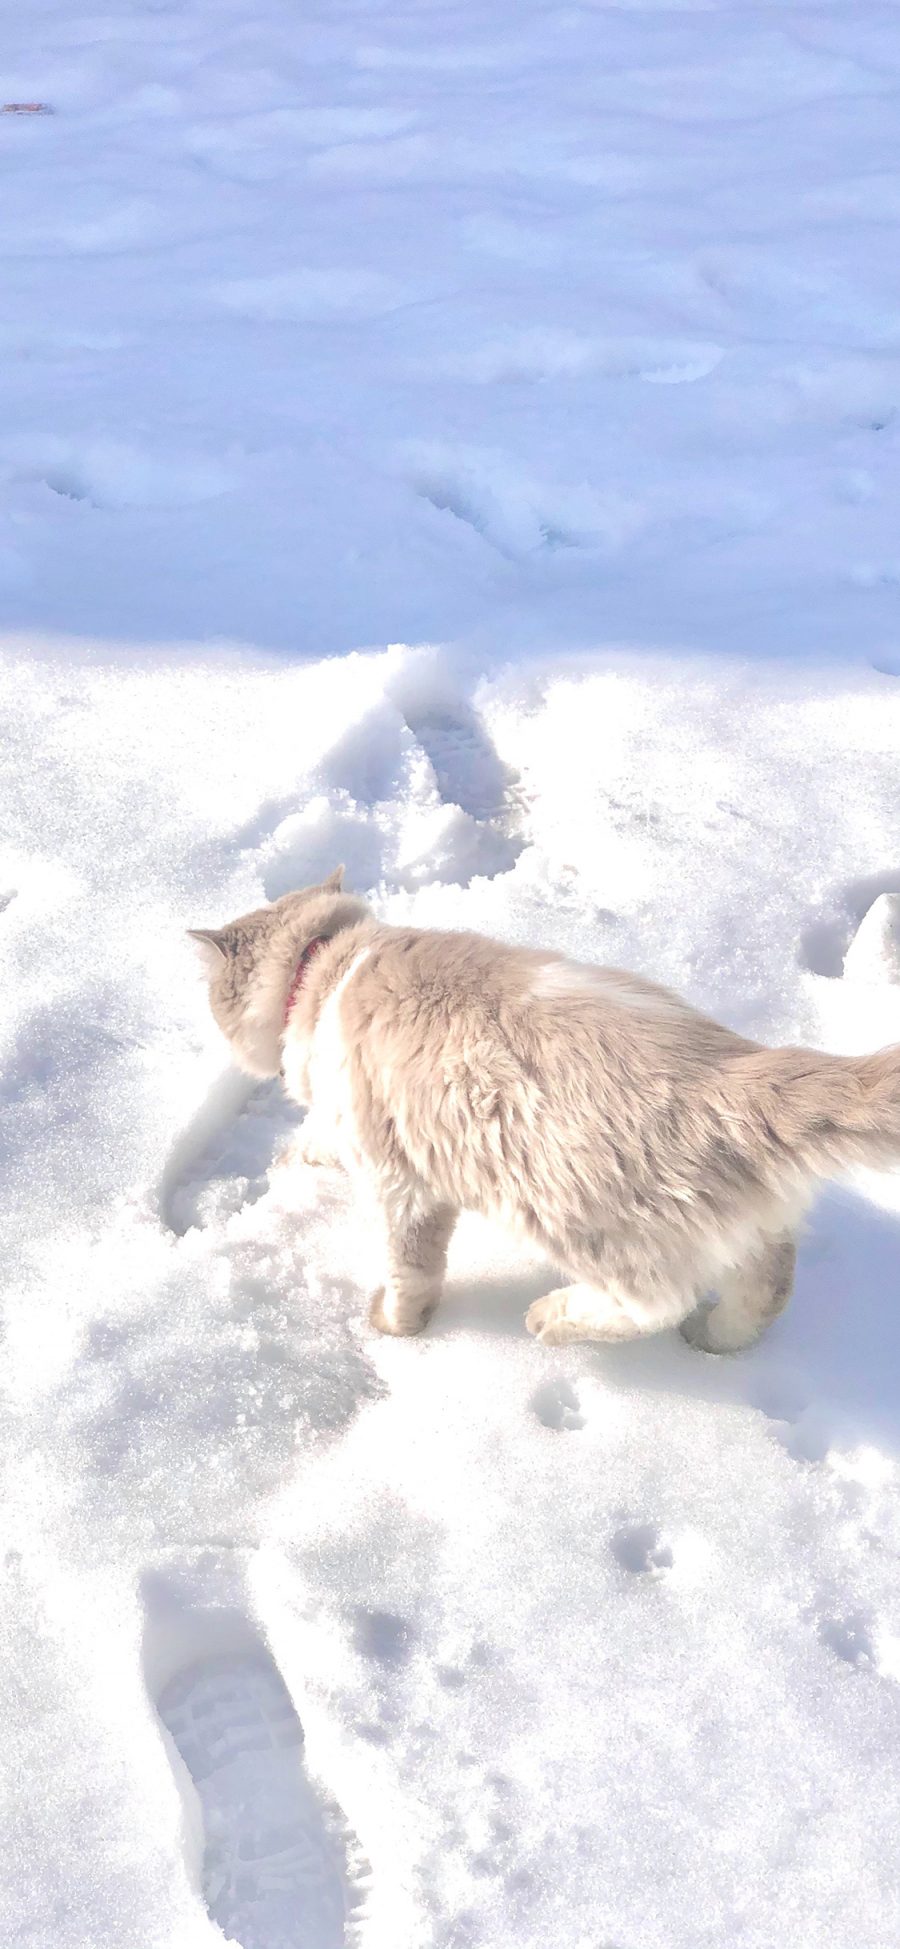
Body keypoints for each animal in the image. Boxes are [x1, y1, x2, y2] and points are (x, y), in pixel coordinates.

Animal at [189, 873, 900, 1348]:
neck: (330, 966)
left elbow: (408, 1270)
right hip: (747, 1225)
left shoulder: (400, 1183)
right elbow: (316, 1142)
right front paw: (297, 1155)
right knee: (770, 1282)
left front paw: (393, 1326)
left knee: (657, 1303)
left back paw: (550, 1317)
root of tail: (730, 1071)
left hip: (576, 1223)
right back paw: (715, 1340)